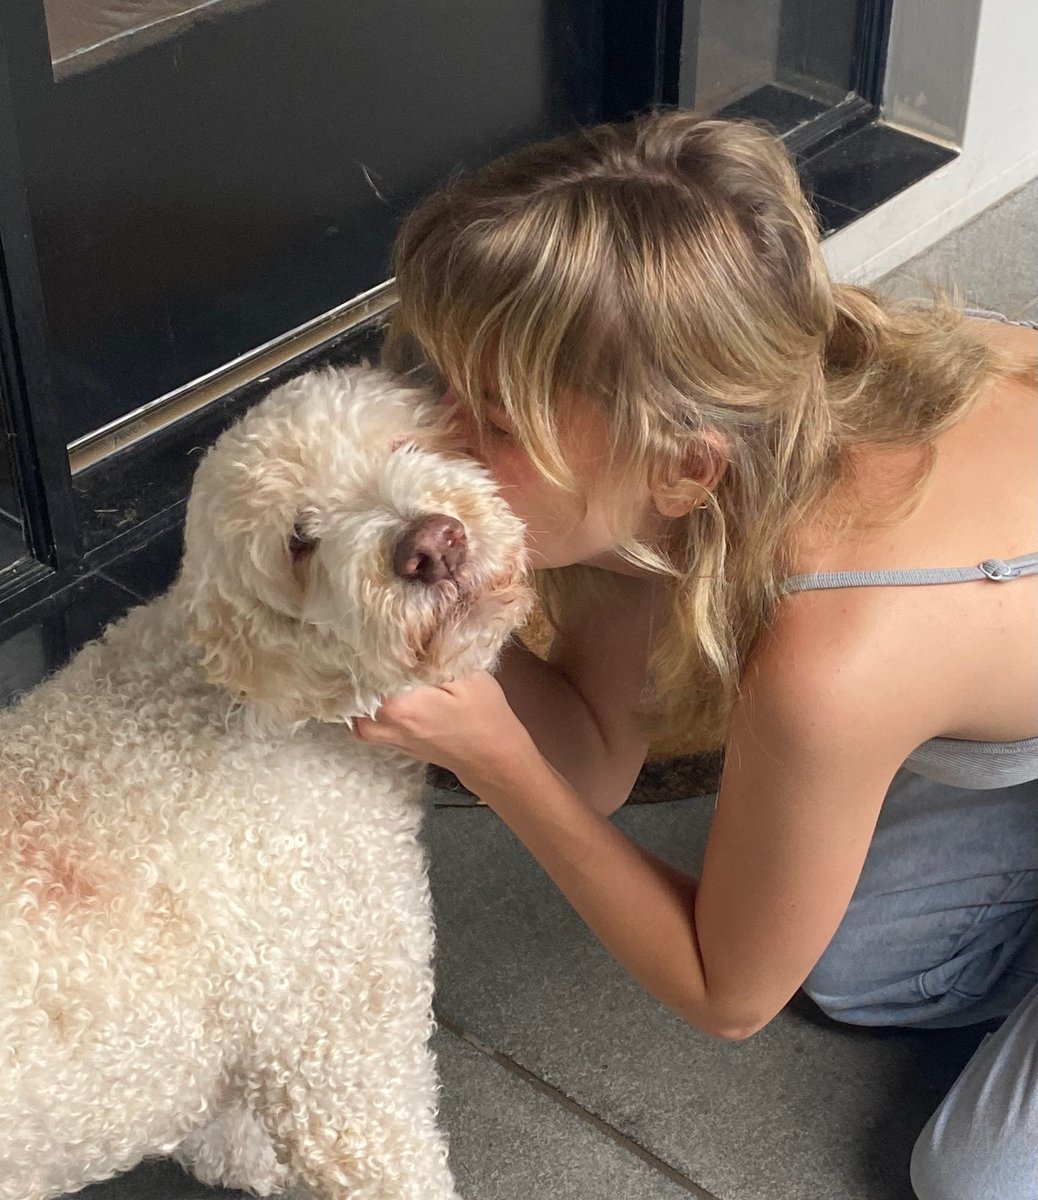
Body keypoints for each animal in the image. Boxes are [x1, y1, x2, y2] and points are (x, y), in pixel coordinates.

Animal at [0, 364, 530, 1200]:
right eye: (300, 542)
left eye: (403, 441)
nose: (430, 546)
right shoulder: (334, 1041)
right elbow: (378, 1154)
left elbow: (221, 1129)